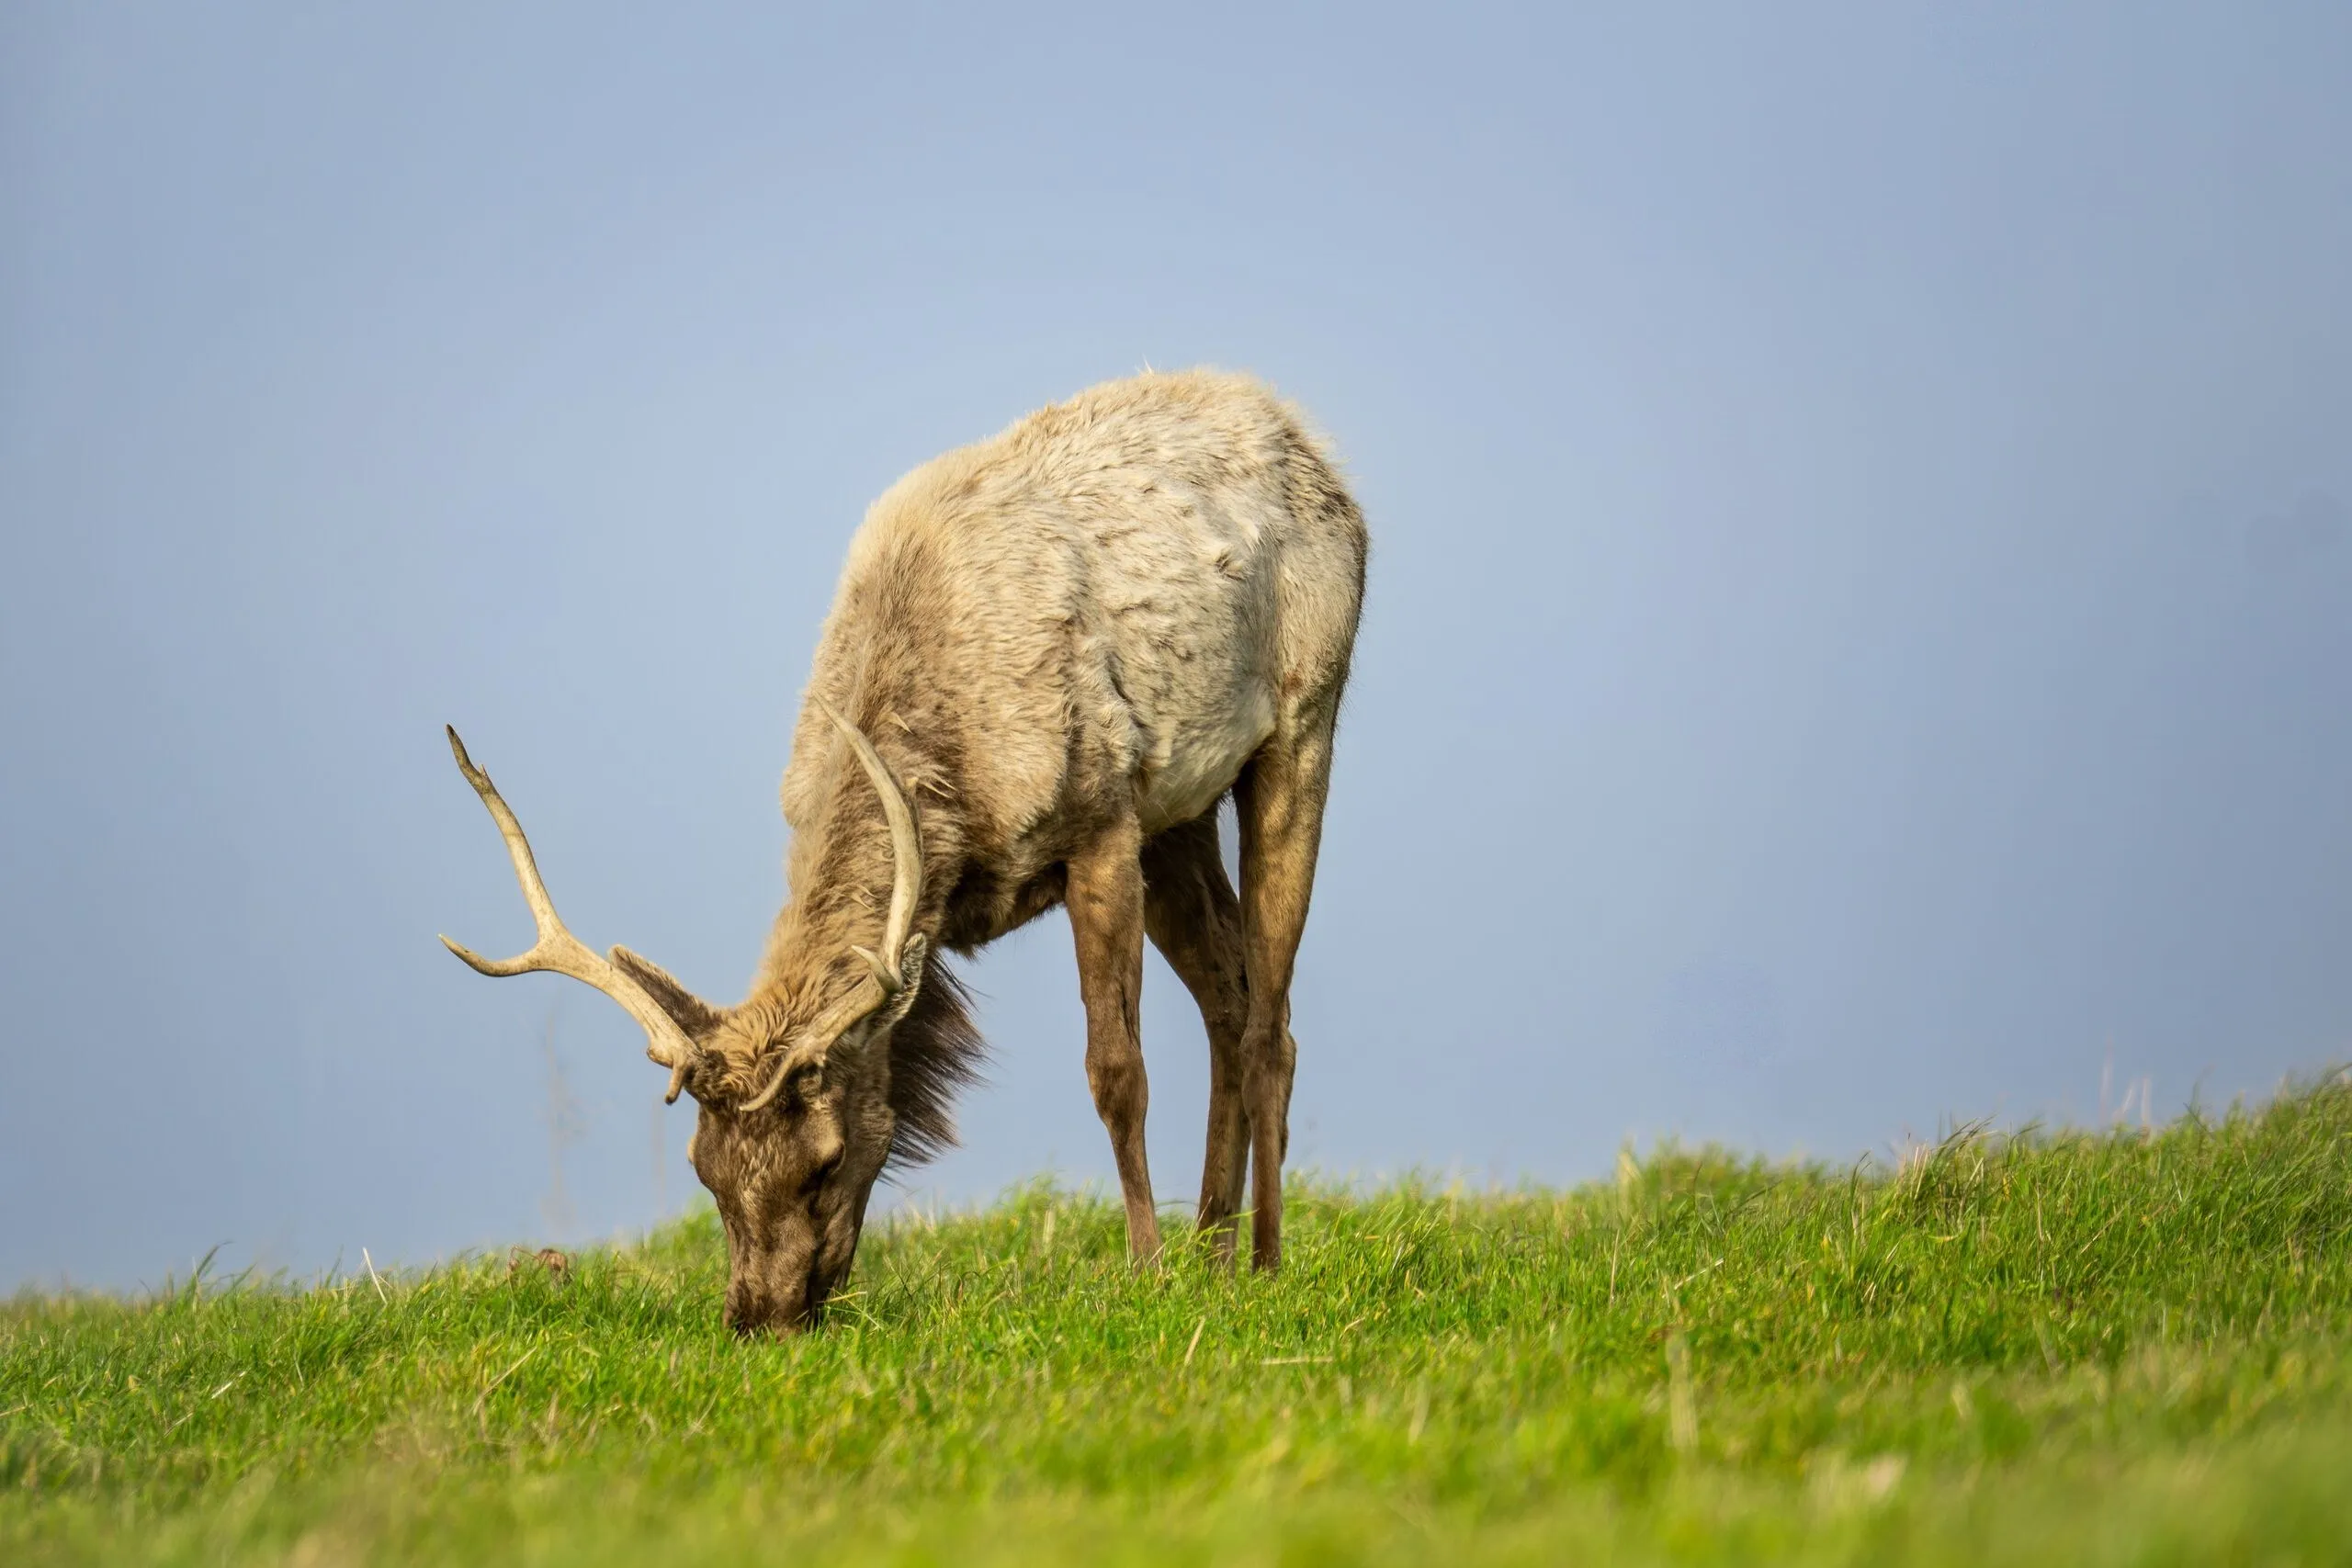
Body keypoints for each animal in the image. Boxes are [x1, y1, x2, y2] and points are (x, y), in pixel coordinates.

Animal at [442, 369, 1367, 1335]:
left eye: (824, 1158)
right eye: (704, 1167)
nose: (758, 1319)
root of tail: (1302, 439)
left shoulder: (1102, 822)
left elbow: (1117, 1071)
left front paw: (1145, 1274)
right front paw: (1169, 1268)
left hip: (1301, 725)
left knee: (1269, 1022)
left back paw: (1262, 1260)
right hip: (1180, 814)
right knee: (1231, 999)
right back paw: (1214, 1255)